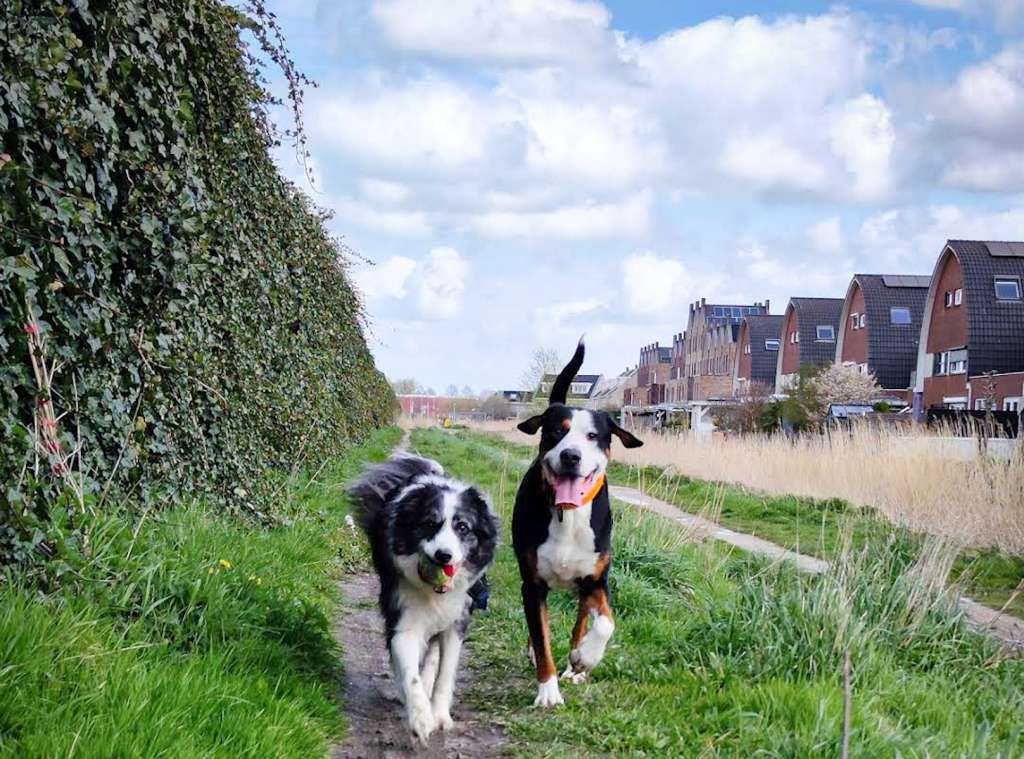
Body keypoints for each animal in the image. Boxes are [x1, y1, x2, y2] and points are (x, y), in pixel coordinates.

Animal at [348, 452, 499, 741]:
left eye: (463, 527)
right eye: (429, 523)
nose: (444, 556)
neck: (434, 592)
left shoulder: (457, 619)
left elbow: (445, 672)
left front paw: (439, 716)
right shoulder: (403, 614)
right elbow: (409, 672)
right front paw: (420, 719)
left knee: (433, 654)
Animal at [512, 340, 638, 708]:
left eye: (594, 435)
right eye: (557, 431)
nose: (571, 456)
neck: (567, 516)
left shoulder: (596, 580)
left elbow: (605, 624)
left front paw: (585, 658)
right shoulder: (533, 583)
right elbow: (541, 638)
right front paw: (548, 690)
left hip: (583, 584)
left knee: (582, 620)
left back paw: (576, 663)